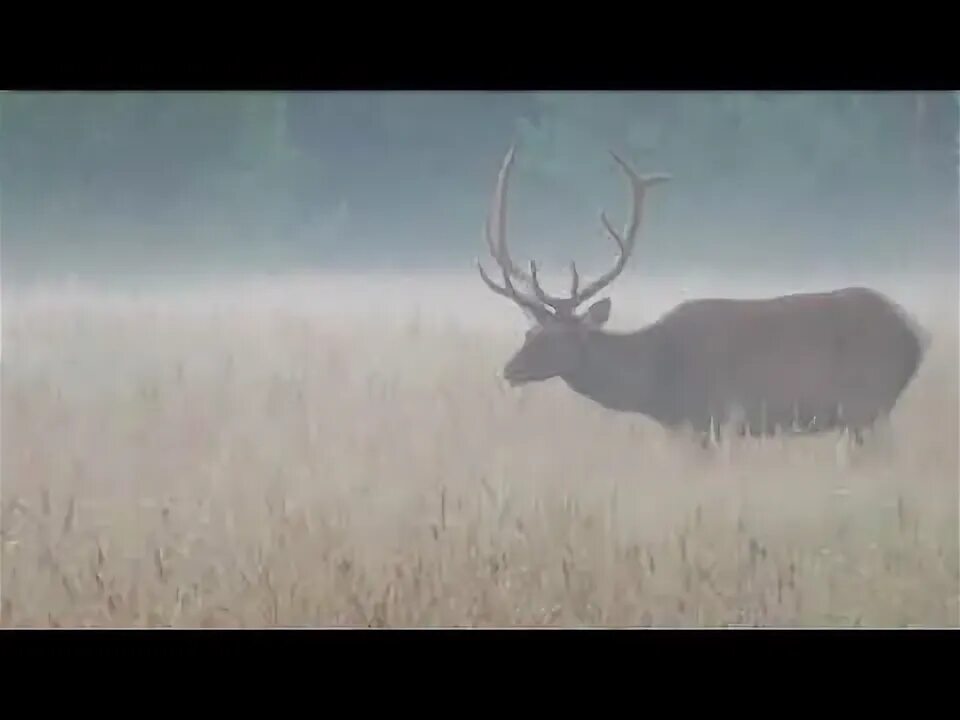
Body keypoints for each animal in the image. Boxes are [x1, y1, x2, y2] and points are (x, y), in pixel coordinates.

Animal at [480, 143, 928, 442]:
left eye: (557, 338)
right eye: (529, 331)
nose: (510, 369)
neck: (656, 383)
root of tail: (916, 334)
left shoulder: (706, 419)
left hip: (868, 403)